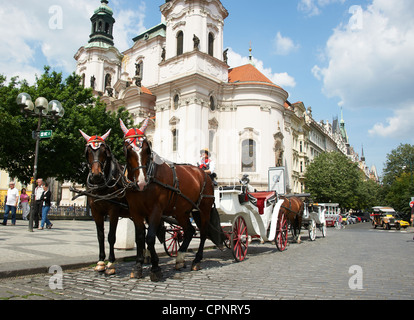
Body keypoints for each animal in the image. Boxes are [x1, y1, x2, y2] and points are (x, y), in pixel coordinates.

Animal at [119, 119, 225, 282]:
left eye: (147, 149)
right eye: (128, 149)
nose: (141, 182)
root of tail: (204, 173)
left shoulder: (156, 211)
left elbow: (150, 238)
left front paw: (155, 268)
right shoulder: (136, 212)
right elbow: (140, 238)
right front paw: (137, 267)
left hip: (203, 210)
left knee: (203, 232)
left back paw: (196, 261)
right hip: (182, 211)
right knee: (189, 230)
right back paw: (180, 259)